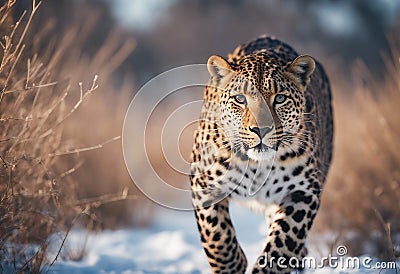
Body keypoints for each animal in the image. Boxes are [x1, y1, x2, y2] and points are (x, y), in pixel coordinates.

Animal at [189, 35, 332, 272]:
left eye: (280, 99)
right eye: (240, 99)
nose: (261, 129)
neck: (258, 164)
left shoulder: (304, 191)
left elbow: (283, 242)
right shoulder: (204, 184)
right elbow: (216, 235)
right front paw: (232, 266)